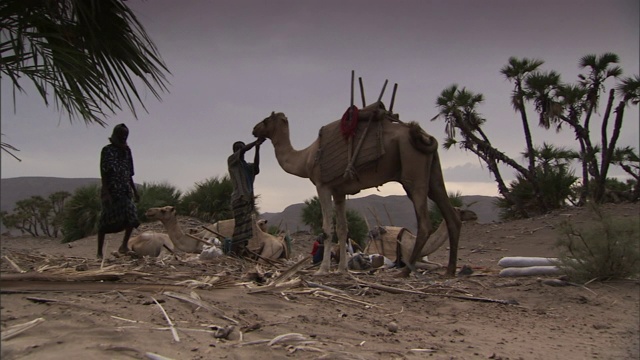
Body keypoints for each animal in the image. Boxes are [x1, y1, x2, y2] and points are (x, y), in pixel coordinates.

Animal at [252, 105, 462, 278]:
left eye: (266, 119)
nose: (254, 129)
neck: (305, 158)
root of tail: (424, 135)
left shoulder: (322, 185)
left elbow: (327, 229)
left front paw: (322, 270)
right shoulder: (339, 191)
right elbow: (343, 229)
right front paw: (342, 269)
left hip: (413, 170)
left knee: (424, 221)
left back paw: (404, 272)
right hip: (432, 170)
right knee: (449, 212)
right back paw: (450, 271)